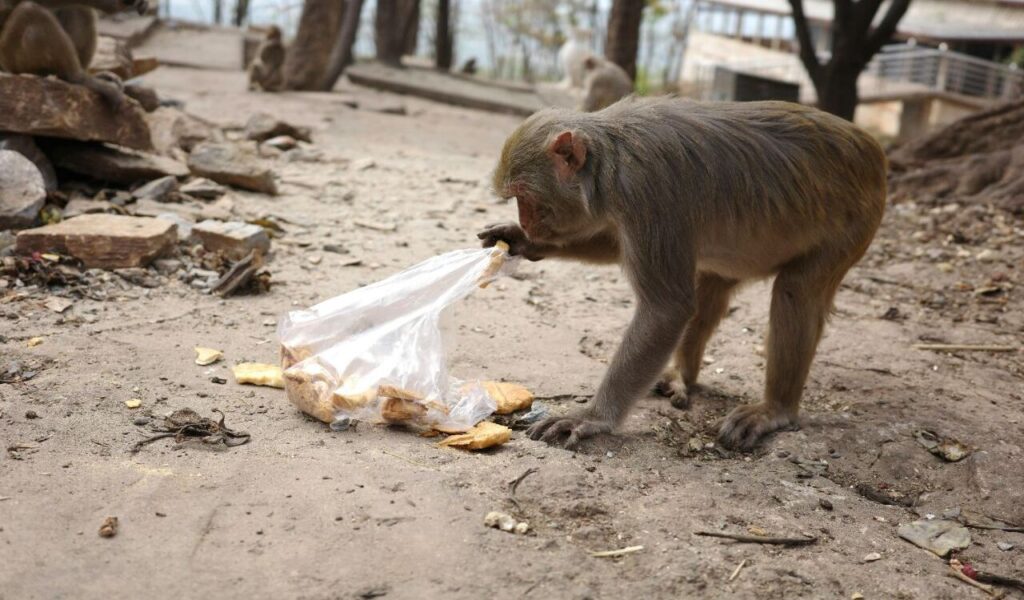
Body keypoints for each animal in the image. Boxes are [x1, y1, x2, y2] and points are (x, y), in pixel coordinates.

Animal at [478, 97, 886, 451]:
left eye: (525, 196)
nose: (527, 223)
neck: (612, 156)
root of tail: (872, 148)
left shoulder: (647, 190)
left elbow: (666, 308)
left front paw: (592, 418)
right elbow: (614, 243)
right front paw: (524, 243)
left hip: (855, 223)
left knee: (795, 292)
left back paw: (775, 409)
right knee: (710, 285)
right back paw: (682, 374)